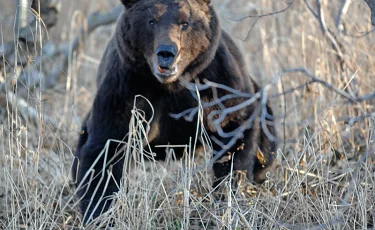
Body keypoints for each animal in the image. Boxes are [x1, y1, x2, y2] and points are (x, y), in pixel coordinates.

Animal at [72, 0, 278, 224]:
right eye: (151, 21)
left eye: (185, 23)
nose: (166, 53)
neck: (171, 85)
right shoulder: (126, 89)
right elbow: (104, 150)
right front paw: (100, 214)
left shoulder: (217, 84)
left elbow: (234, 135)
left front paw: (228, 197)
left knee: (266, 146)